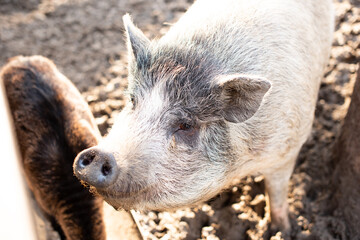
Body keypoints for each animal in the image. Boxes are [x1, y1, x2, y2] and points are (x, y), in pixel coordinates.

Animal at [73, 0, 334, 231]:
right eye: (133, 101)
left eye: (186, 124)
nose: (99, 155)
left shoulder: (287, 149)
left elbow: (277, 192)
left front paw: (283, 230)